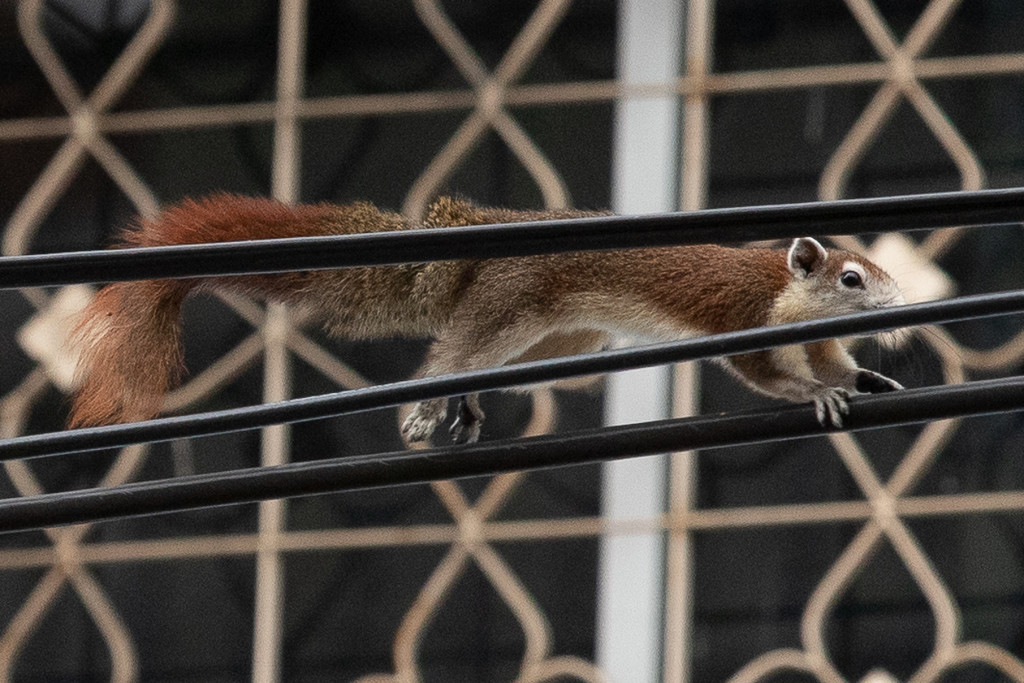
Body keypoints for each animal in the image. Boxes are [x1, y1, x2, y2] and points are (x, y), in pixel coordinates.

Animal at [68, 192, 905, 446]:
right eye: (852, 278)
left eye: (888, 276)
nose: (898, 309)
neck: (789, 294)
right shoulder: (746, 313)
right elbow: (762, 370)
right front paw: (818, 395)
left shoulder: (814, 337)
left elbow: (833, 359)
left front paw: (865, 375)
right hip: (511, 305)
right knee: (450, 354)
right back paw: (423, 407)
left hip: (566, 336)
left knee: (483, 365)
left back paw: (465, 404)